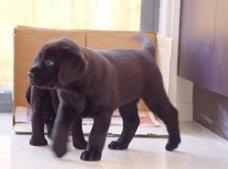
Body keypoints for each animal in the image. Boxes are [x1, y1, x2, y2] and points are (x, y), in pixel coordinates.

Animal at [28, 34, 180, 161]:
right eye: (38, 58)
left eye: (50, 61)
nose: (29, 73)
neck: (77, 88)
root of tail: (145, 53)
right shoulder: (67, 107)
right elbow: (60, 126)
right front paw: (58, 148)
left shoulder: (103, 112)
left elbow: (96, 134)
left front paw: (91, 153)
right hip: (127, 102)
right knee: (132, 121)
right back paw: (120, 143)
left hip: (153, 95)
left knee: (171, 113)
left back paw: (173, 143)